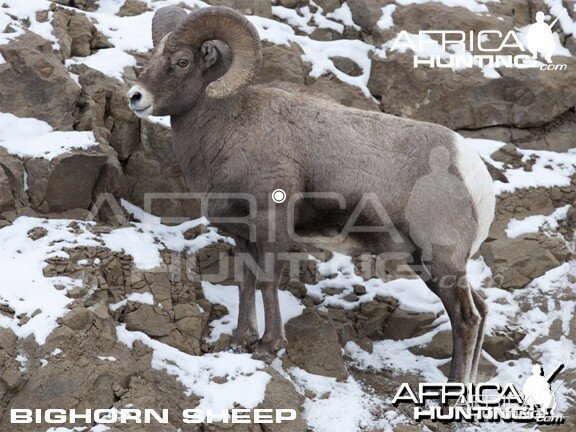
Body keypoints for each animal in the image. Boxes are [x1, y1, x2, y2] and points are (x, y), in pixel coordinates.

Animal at [129, 5, 500, 384]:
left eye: (182, 61)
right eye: (153, 56)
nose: (136, 97)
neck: (231, 128)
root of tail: (474, 176)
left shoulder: (273, 227)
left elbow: (267, 283)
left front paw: (269, 346)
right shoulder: (244, 236)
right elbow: (246, 284)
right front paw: (240, 341)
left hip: (440, 260)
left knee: (466, 319)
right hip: (427, 262)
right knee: (482, 309)